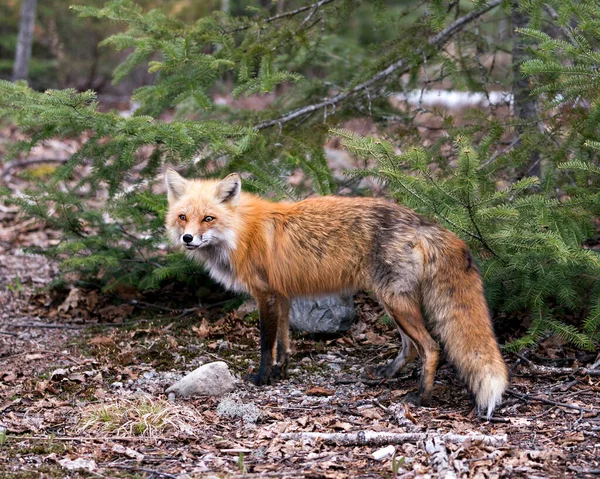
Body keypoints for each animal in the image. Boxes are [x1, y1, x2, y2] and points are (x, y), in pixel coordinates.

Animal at [166, 171, 508, 418]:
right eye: (183, 217)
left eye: (208, 218)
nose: (188, 238)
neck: (241, 233)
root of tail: (424, 221)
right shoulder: (283, 295)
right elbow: (283, 343)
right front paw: (281, 372)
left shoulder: (266, 295)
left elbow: (266, 343)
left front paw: (262, 378)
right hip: (392, 301)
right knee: (411, 347)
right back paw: (385, 374)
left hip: (394, 300)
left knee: (431, 347)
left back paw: (421, 397)